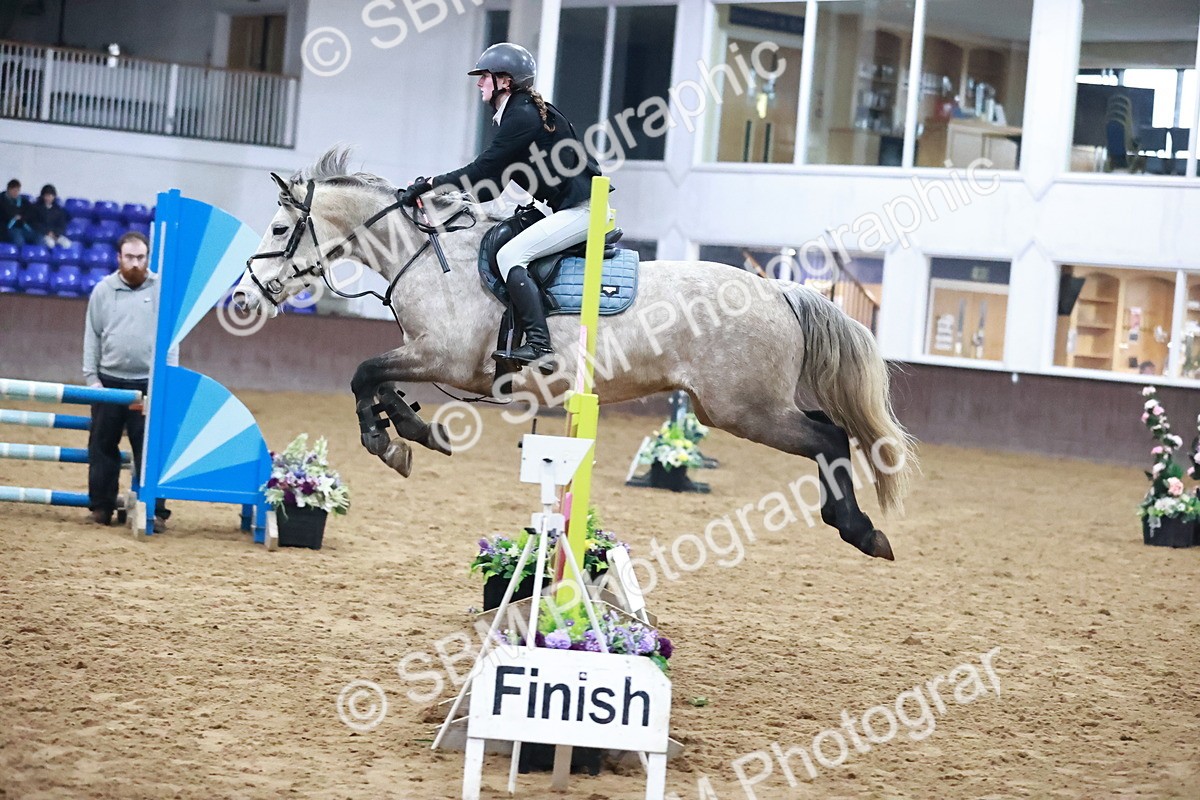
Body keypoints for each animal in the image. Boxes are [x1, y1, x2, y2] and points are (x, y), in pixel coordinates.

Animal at [234, 148, 917, 560]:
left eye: (279, 230)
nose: (243, 296)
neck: (424, 257)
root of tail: (778, 289)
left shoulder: (442, 358)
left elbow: (363, 372)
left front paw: (392, 439)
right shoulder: (428, 357)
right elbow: (373, 380)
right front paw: (409, 432)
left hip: (743, 409)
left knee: (828, 436)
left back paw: (862, 531)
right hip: (731, 407)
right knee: (829, 434)